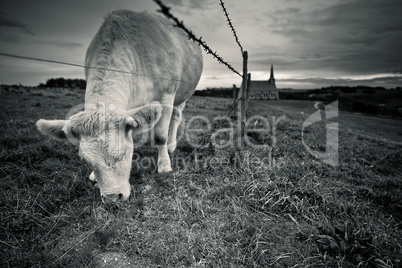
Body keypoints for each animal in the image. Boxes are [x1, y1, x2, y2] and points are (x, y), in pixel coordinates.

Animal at [35, 9, 203, 203]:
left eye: (124, 153)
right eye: (87, 160)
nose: (113, 198)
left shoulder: (167, 95)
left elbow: (160, 135)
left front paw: (164, 166)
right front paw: (93, 175)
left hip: (182, 95)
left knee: (176, 117)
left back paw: (171, 146)